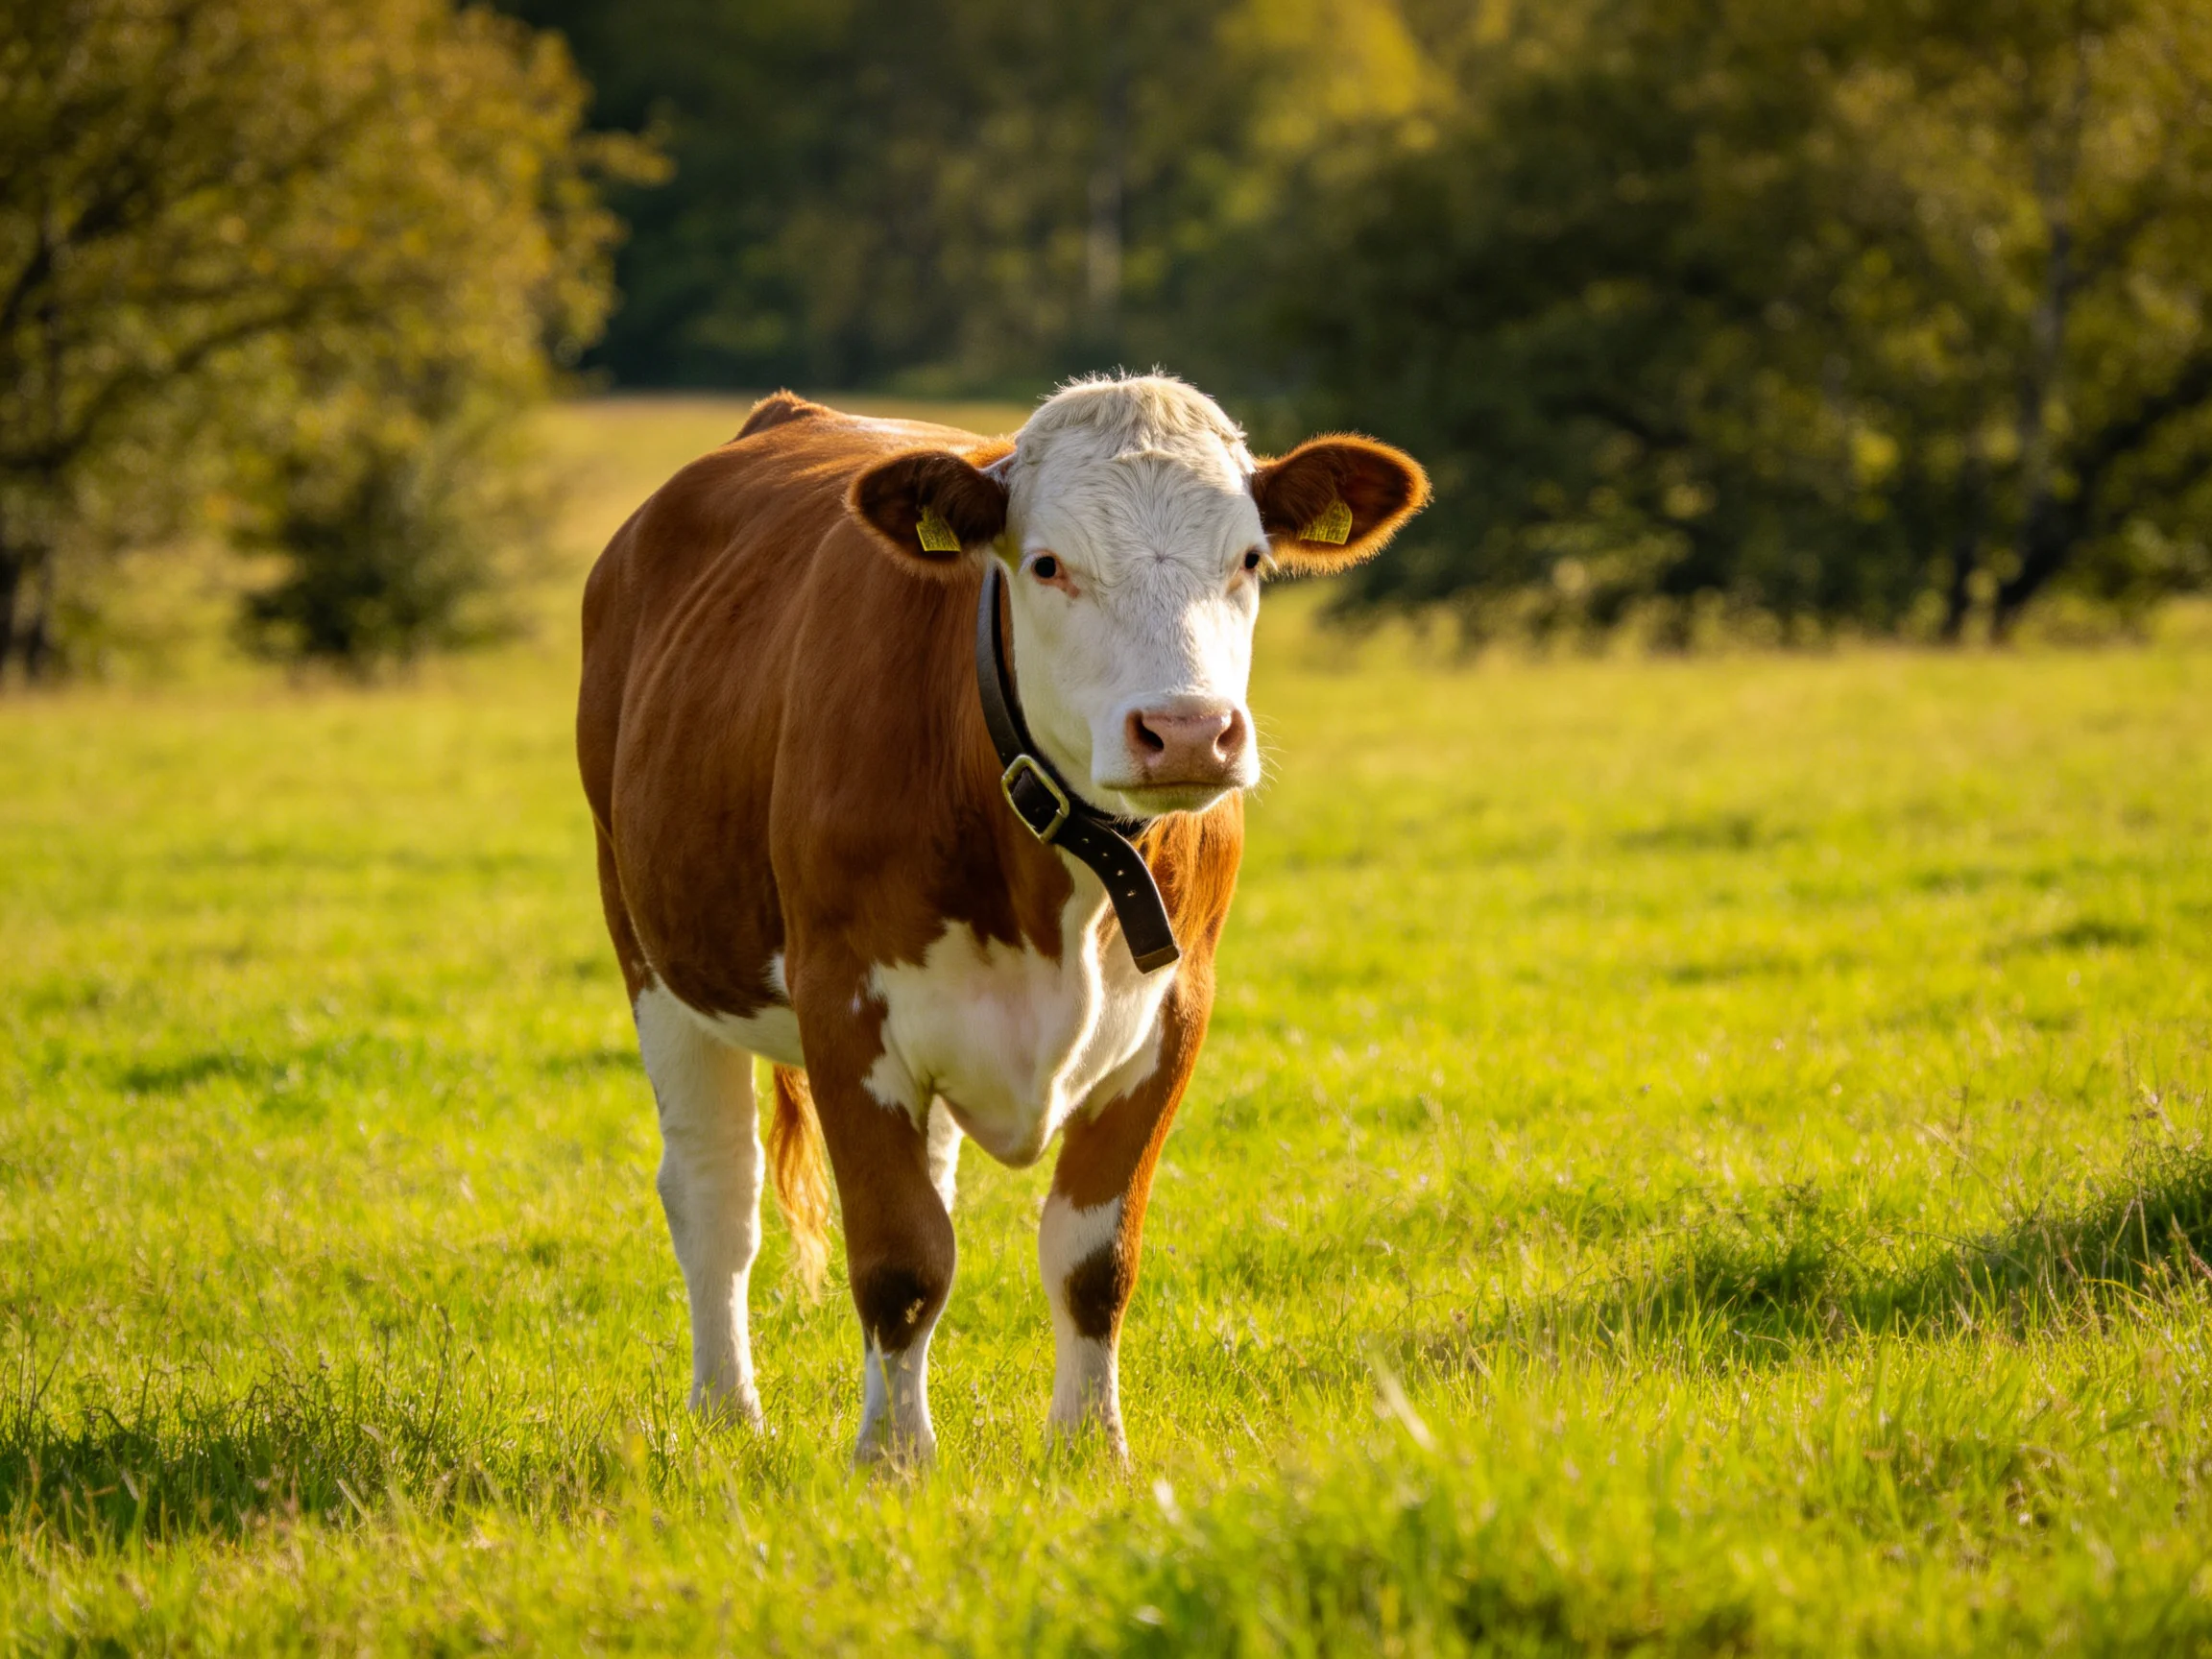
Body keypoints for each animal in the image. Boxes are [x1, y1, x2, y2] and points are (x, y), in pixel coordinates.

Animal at [578, 374, 1426, 1463]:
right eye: (1048, 564)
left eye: (1248, 560)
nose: (1189, 731)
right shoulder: (843, 1003)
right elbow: (899, 1258)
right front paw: (893, 1460)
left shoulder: (1176, 1012)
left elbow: (1090, 1255)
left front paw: (1090, 1448)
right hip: (650, 945)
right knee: (715, 1193)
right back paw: (727, 1409)